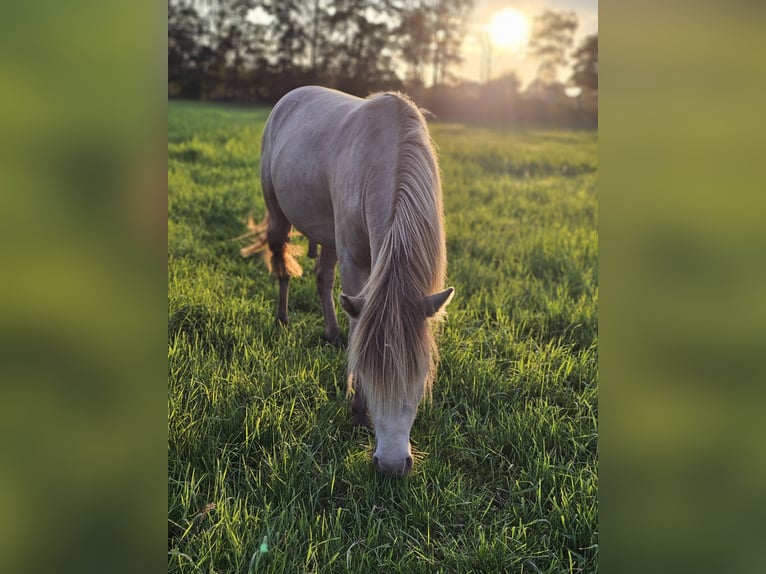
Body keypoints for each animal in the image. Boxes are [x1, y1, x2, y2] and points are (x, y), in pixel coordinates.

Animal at [252, 85, 456, 480]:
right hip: (278, 213)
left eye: (420, 377)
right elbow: (359, 322)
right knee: (283, 264)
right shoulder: (353, 258)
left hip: (327, 233)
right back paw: (283, 319)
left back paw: (331, 333)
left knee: (322, 278)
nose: (392, 466)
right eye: (371, 372)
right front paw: (358, 408)